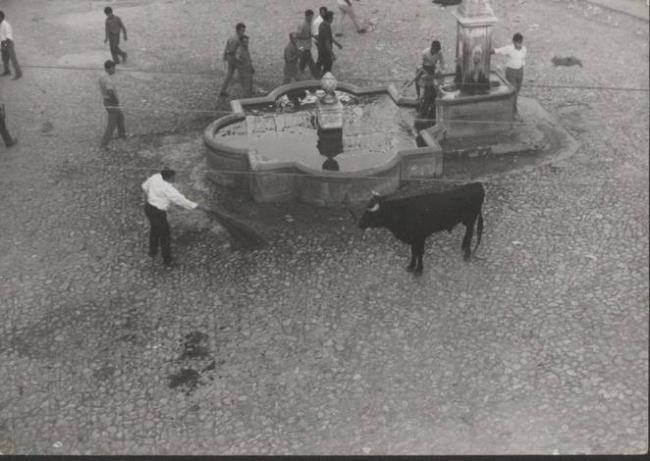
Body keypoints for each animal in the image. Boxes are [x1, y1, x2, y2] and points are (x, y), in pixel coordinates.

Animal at [356, 181, 484, 274]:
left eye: (371, 214)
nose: (360, 224)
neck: (401, 212)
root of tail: (477, 185)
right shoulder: (413, 239)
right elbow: (414, 252)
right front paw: (411, 266)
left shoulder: (420, 237)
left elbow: (419, 253)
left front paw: (419, 270)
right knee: (467, 234)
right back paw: (463, 246)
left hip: (471, 219)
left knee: (470, 234)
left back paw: (467, 254)